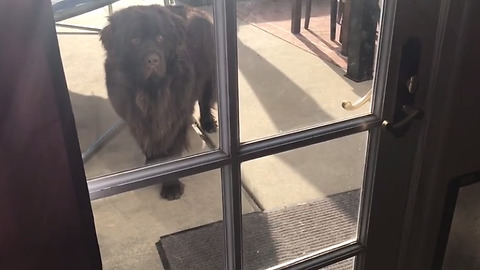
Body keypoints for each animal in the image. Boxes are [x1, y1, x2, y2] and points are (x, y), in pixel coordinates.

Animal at [100, 3, 217, 198]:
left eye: (160, 37)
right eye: (134, 40)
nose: (153, 60)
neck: (151, 90)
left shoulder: (175, 121)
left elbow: (171, 154)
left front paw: (171, 186)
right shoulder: (137, 120)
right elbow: (149, 143)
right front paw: (152, 165)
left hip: (209, 74)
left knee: (205, 100)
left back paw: (208, 123)